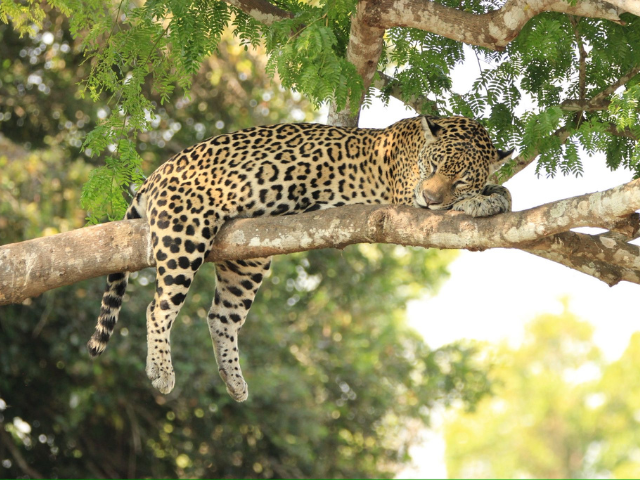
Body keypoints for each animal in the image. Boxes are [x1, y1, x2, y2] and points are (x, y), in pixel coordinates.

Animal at [87, 115, 513, 402]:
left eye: (460, 177)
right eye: (433, 166)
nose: (431, 197)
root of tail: (154, 176)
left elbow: (496, 186)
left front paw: (494, 193)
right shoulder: (403, 199)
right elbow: (461, 203)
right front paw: (484, 201)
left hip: (247, 259)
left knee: (220, 317)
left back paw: (233, 379)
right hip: (184, 231)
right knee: (158, 308)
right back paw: (161, 369)